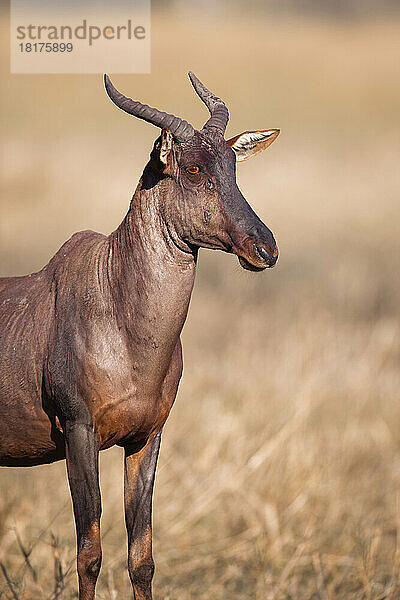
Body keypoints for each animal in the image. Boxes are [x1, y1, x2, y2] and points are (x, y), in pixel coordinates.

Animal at [0, 74, 280, 600]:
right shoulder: (79, 433)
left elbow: (142, 557)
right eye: (192, 168)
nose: (265, 248)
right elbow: (89, 553)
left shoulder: (147, 438)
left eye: (234, 167)